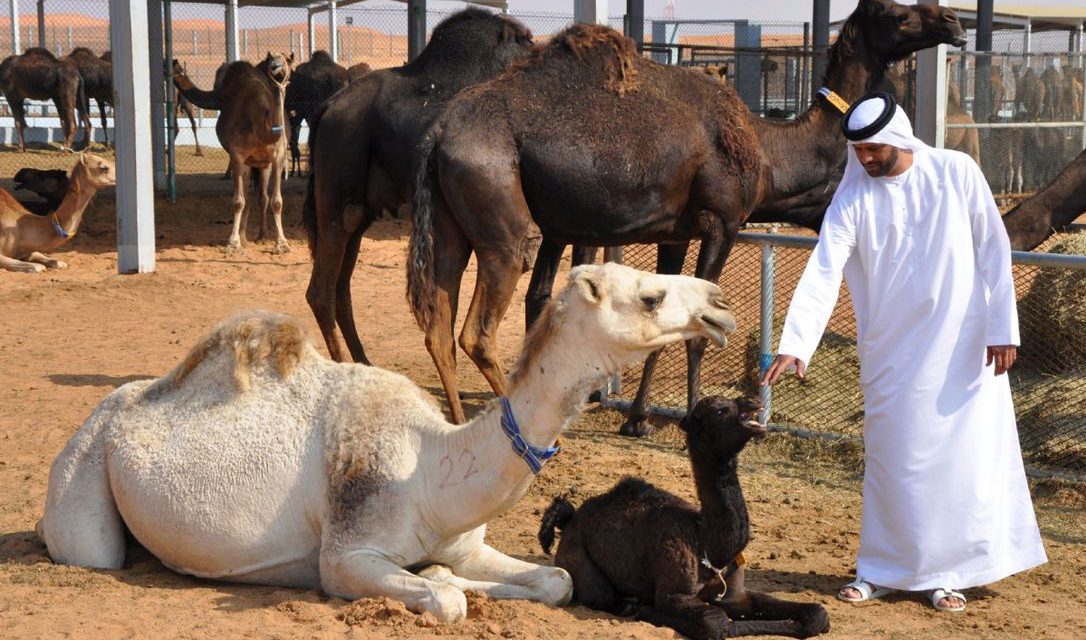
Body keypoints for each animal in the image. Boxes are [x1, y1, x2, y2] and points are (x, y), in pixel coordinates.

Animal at [40, 261, 738, 621]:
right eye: (651, 295)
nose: (719, 302)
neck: (429, 469)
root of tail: (106, 409)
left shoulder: (465, 541)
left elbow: (555, 582)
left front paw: (449, 573)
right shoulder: (346, 555)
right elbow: (446, 600)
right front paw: (439, 583)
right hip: (85, 488)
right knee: (90, 547)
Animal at [304, 6, 532, 365]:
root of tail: (326, 109)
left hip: (359, 212)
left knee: (341, 287)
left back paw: (365, 363)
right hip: (335, 195)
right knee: (321, 291)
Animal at [408, 1, 968, 430]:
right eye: (894, 12)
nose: (953, 22)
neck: (766, 150)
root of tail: (438, 136)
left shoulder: (673, 233)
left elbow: (668, 322)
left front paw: (637, 419)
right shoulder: (724, 221)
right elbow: (698, 331)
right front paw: (694, 418)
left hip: (455, 228)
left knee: (440, 324)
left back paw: (456, 423)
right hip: (504, 219)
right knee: (477, 330)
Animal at [538, 393, 825, 638]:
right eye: (720, 410)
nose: (752, 400)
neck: (707, 545)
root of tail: (571, 521)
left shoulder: (734, 594)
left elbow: (818, 613)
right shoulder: (673, 593)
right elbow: (716, 622)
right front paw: (645, 609)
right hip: (579, 560)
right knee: (602, 595)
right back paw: (628, 604)